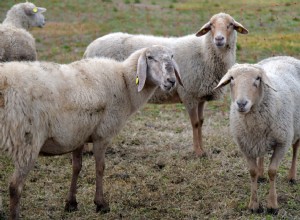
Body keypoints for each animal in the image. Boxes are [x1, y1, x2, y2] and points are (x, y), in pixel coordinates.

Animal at [0, 45, 183, 220]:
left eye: (172, 57)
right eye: (150, 57)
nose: (171, 81)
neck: (125, 82)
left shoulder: (77, 135)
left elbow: (76, 167)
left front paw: (71, 203)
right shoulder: (102, 134)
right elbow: (100, 168)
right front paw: (101, 204)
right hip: (27, 141)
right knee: (15, 187)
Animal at [82, 12, 248, 156]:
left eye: (231, 25)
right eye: (211, 25)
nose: (219, 39)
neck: (204, 52)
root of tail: (89, 47)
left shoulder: (200, 95)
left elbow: (201, 122)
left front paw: (203, 149)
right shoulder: (188, 94)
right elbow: (195, 123)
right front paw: (197, 152)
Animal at [213, 56, 300, 215]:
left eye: (258, 78)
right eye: (232, 78)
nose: (241, 103)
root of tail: (285, 56)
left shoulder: (282, 142)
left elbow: (273, 171)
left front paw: (272, 205)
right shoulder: (245, 144)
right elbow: (252, 172)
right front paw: (253, 205)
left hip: (296, 127)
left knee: (296, 148)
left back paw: (292, 176)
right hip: (259, 141)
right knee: (261, 154)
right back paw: (261, 174)